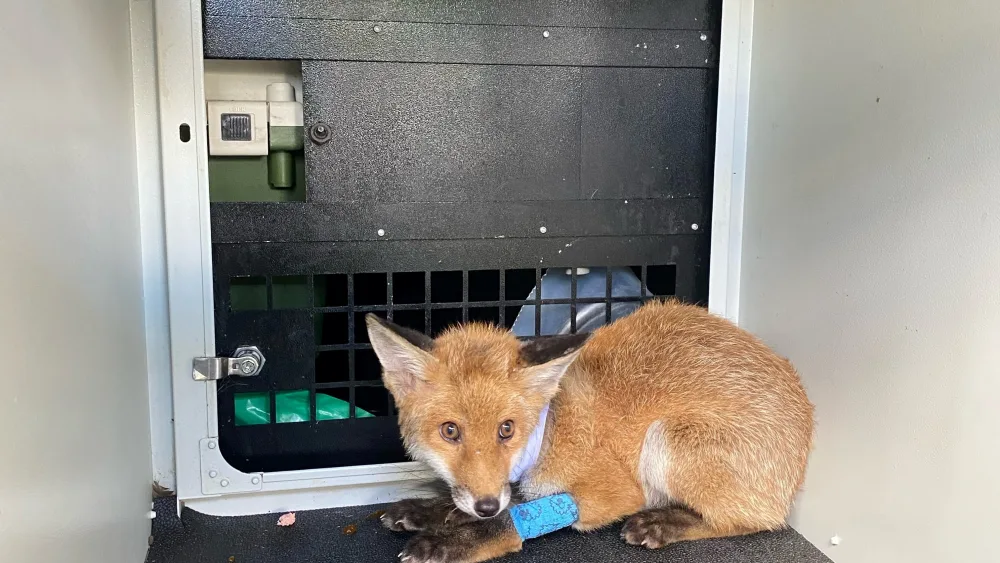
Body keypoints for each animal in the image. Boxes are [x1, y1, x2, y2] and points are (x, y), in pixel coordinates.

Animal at [365, 299, 814, 563]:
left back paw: (663, 523)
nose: (486, 506)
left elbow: (513, 519)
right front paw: (429, 511)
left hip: (668, 441)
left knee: (752, 520)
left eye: (506, 429)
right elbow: (481, 500)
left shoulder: (613, 491)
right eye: (450, 431)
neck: (548, 429)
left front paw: (457, 538)